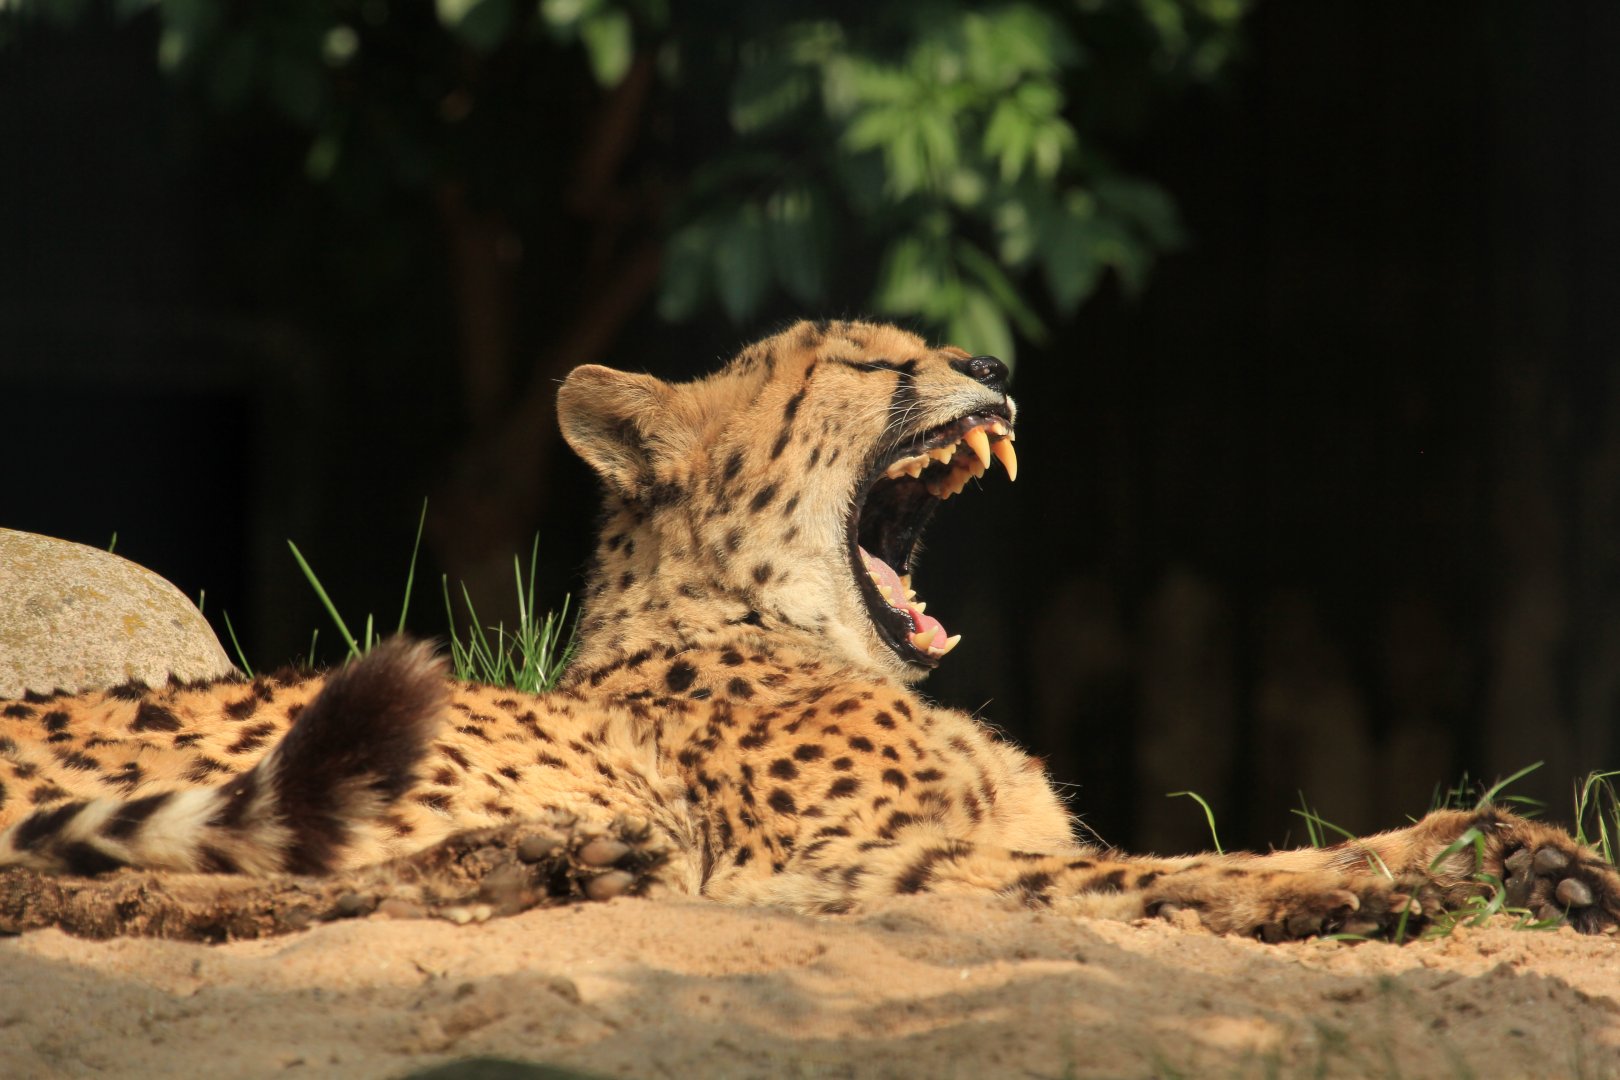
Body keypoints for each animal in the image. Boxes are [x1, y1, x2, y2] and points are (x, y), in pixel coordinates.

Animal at [1, 318, 1617, 943]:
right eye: (868, 362)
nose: (993, 364)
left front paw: (1524, 852)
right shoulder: (853, 871)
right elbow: (1165, 874)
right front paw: (1399, 882)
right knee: (164, 891)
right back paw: (529, 865)